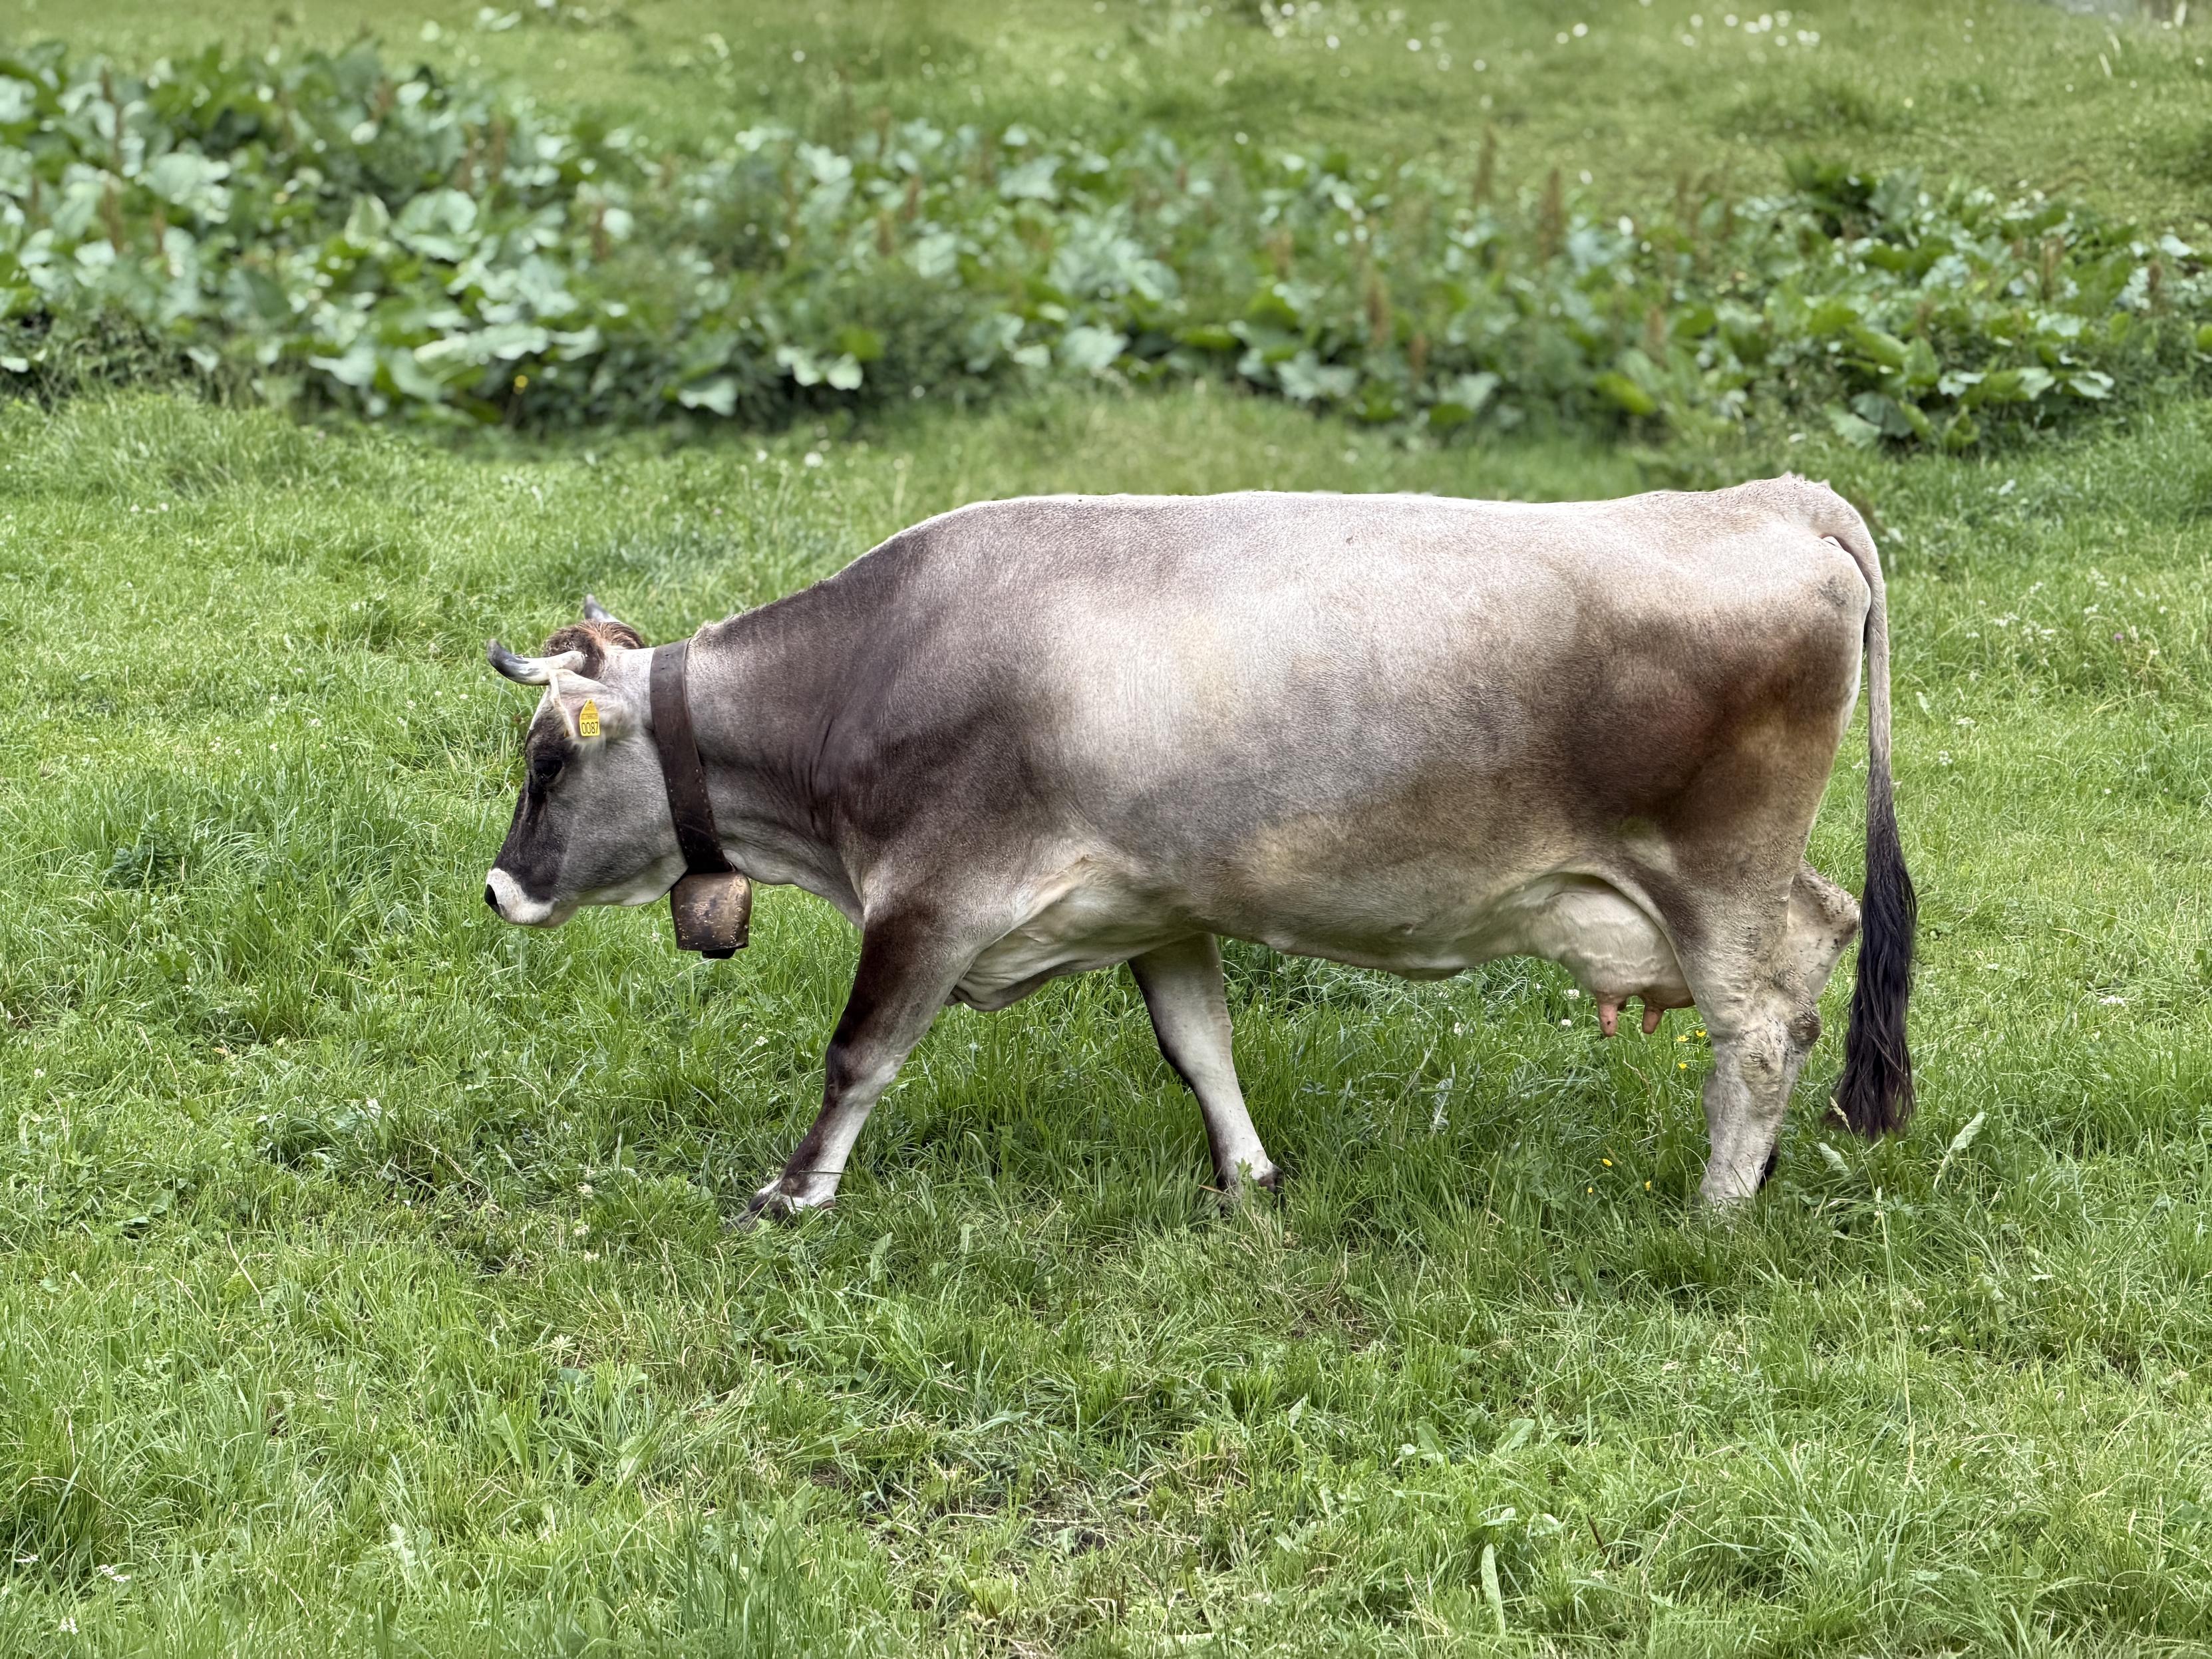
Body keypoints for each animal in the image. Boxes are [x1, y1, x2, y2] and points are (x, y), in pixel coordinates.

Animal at [483, 476, 1915, 1219]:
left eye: (547, 762)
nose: (499, 887)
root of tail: (1777, 495)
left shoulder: (932, 897)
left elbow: (859, 1053)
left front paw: (793, 1192)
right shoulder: (1157, 902)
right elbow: (1200, 1044)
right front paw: (1249, 1173)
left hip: (1715, 874)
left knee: (1766, 1014)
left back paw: (1719, 1204)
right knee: (1828, 932)